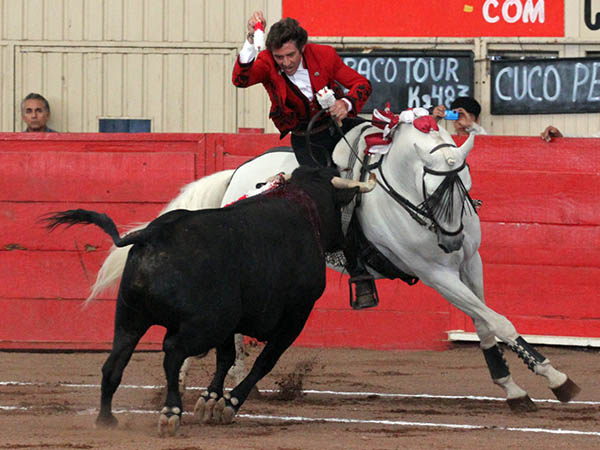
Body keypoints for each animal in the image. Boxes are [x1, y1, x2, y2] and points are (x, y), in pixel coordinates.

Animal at [43, 167, 366, 434]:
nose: (349, 244)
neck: (301, 206)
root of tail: (152, 234)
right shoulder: (295, 315)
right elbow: (264, 361)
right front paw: (228, 404)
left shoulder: (231, 323)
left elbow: (226, 357)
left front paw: (210, 400)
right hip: (203, 324)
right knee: (172, 352)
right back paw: (171, 413)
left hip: (129, 319)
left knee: (114, 363)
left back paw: (107, 419)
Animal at [91, 115, 580, 412]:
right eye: (434, 189)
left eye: (461, 184)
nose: (450, 238)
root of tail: (239, 171)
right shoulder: (435, 273)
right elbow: (496, 320)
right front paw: (558, 379)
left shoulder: (469, 261)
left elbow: (485, 322)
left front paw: (513, 387)